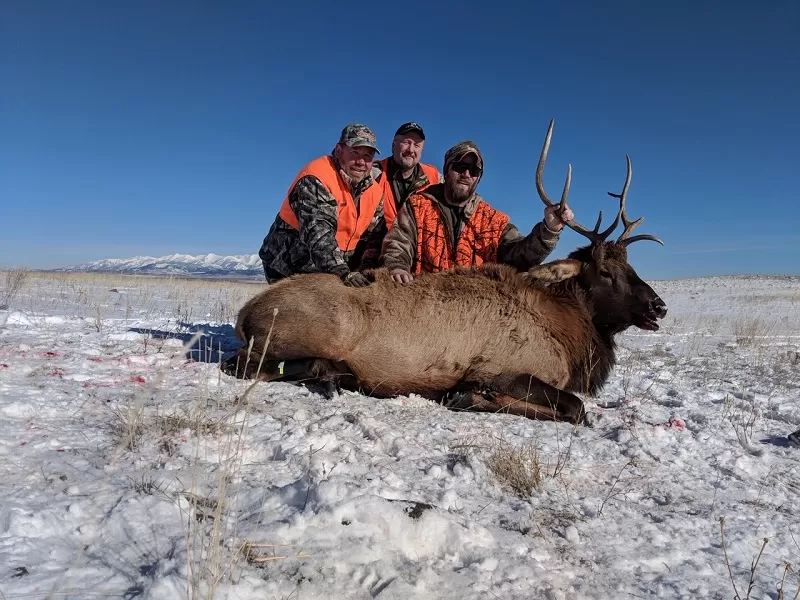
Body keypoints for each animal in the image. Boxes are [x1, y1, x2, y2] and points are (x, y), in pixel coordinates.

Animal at [222, 119, 664, 424]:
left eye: (630, 265)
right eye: (604, 271)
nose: (658, 306)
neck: (569, 336)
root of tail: (245, 314)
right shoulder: (501, 368)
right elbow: (576, 410)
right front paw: (471, 396)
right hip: (308, 333)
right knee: (241, 364)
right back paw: (332, 373)